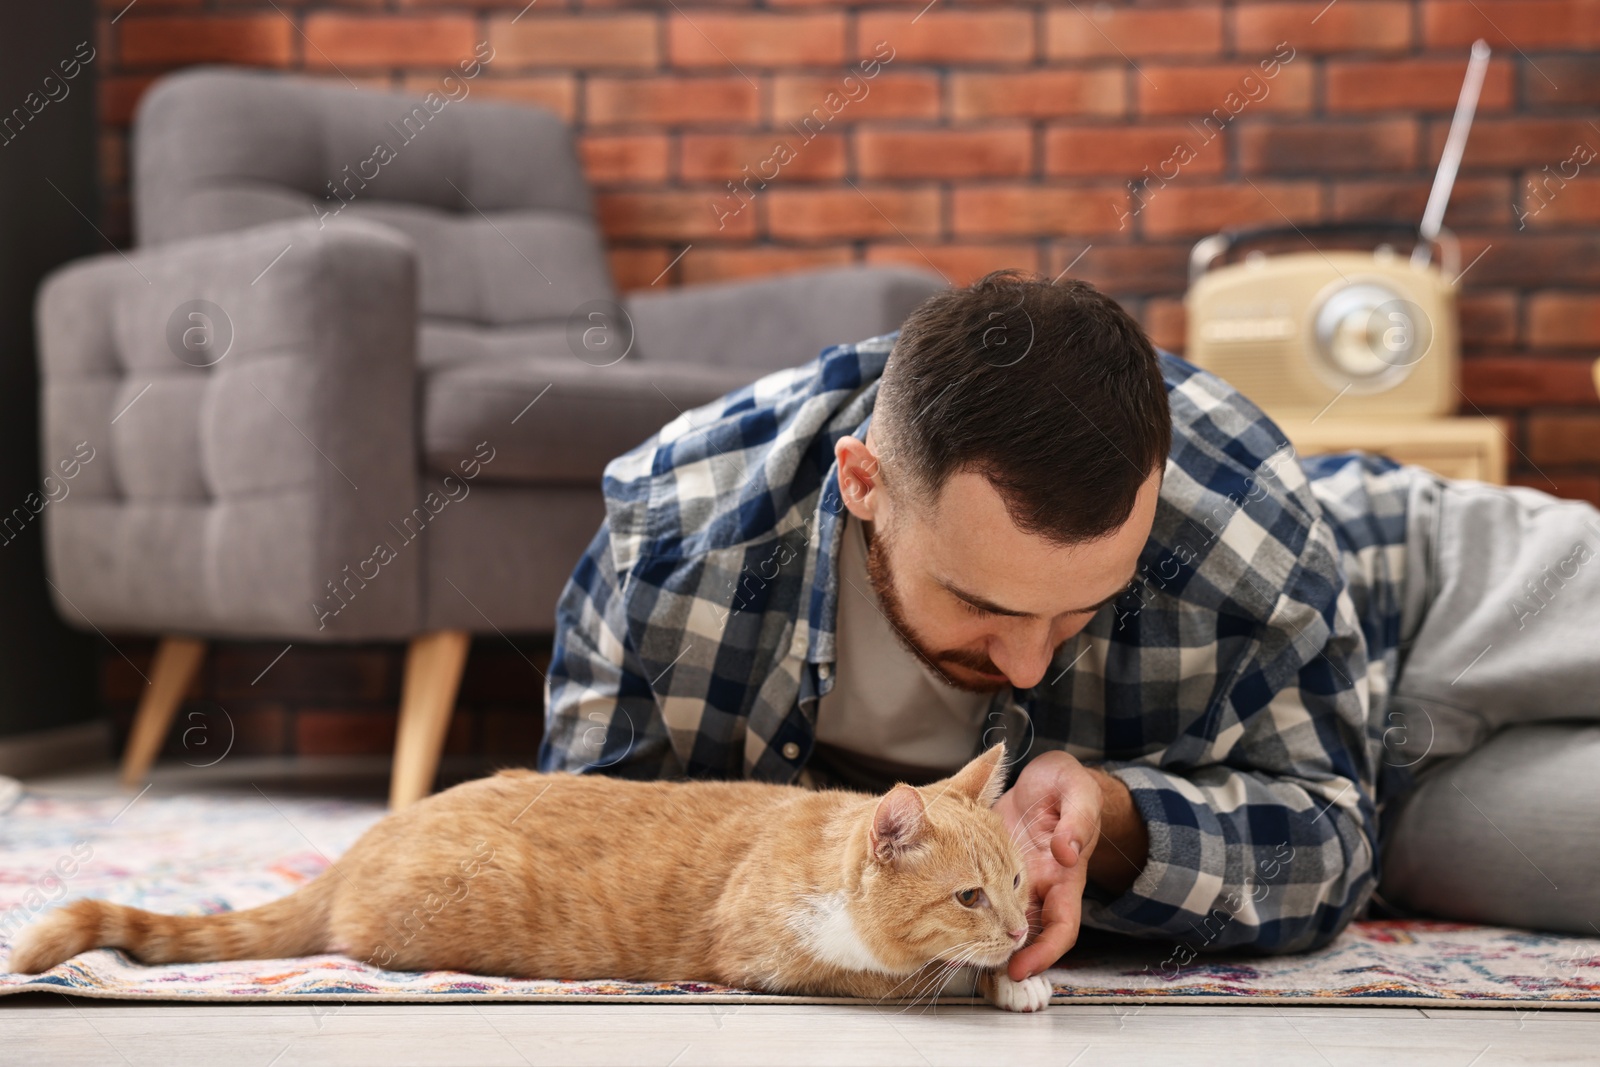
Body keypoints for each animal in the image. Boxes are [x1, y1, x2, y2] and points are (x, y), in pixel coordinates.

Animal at [15, 742, 1062, 1011]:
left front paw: (1020, 973)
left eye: (1018, 884)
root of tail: (368, 838)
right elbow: (897, 973)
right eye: (969, 895)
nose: (1019, 930)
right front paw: (994, 978)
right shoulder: (772, 957)